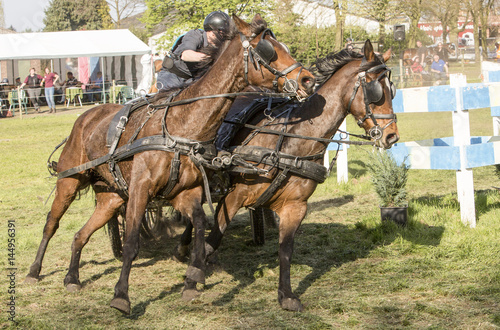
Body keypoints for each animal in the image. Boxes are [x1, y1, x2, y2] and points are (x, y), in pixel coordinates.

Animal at [25, 14, 314, 314]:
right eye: (268, 49)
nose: (308, 79)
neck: (181, 126)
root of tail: (85, 117)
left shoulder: (187, 192)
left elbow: (199, 223)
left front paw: (194, 274)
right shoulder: (140, 190)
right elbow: (131, 242)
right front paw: (121, 296)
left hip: (111, 198)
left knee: (80, 235)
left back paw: (72, 277)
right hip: (69, 182)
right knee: (51, 224)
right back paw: (34, 271)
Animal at [178, 39, 400, 312]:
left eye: (392, 89)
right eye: (375, 89)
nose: (392, 136)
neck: (291, 141)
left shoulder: (295, 206)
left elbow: (285, 249)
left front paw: (286, 295)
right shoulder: (234, 196)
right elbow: (213, 239)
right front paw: (192, 279)